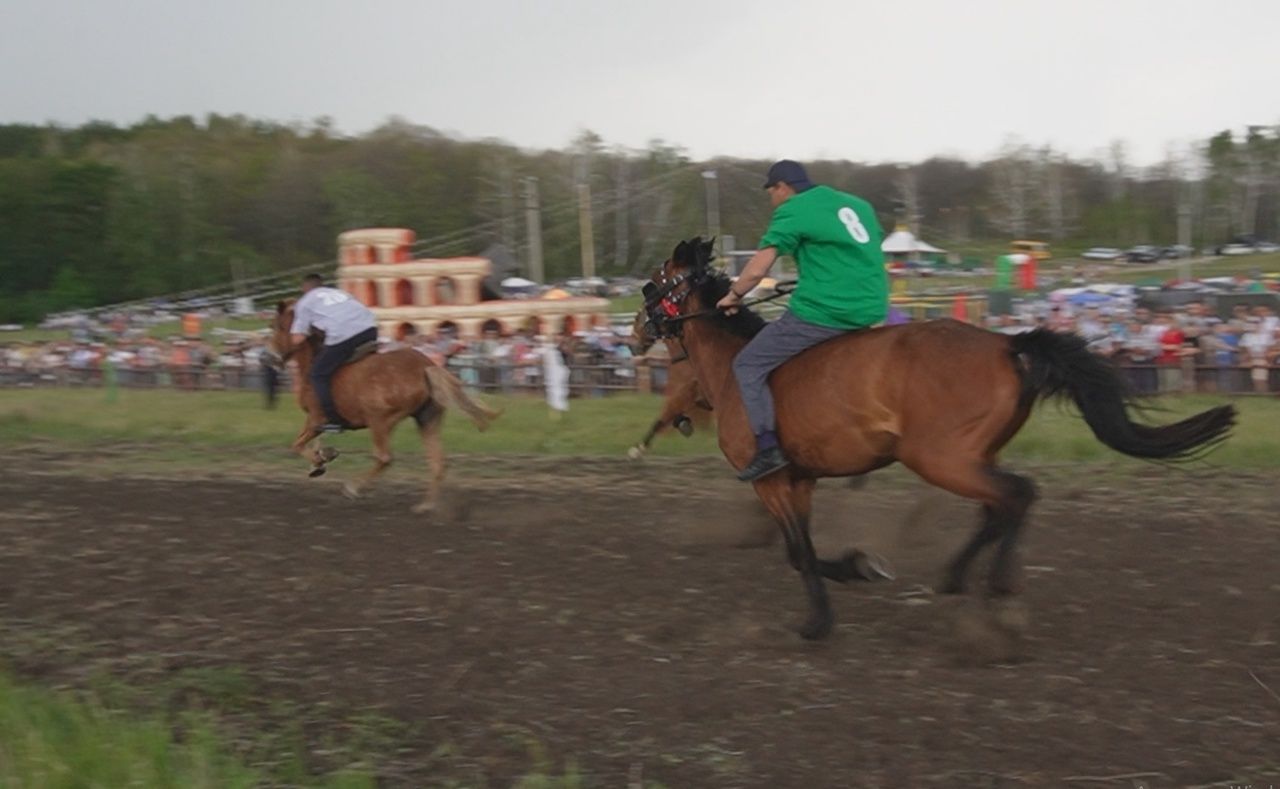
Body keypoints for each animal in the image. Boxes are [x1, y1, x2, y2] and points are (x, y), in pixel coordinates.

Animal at [270, 300, 499, 512]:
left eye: (275, 326)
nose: (272, 359)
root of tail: (426, 366)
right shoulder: (317, 422)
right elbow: (308, 443)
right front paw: (322, 458)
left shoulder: (316, 419)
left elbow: (297, 445)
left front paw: (320, 462)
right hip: (427, 419)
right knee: (437, 463)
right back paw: (426, 505)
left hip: (380, 420)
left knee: (384, 457)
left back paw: (353, 488)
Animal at [645, 235, 1233, 640]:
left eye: (657, 279)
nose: (638, 326)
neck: (732, 367)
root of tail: (1007, 345)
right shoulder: (801, 480)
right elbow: (803, 551)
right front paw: (859, 567)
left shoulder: (769, 481)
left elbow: (799, 554)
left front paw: (819, 621)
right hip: (970, 455)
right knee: (999, 508)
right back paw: (957, 576)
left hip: (940, 458)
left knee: (1017, 495)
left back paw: (999, 592)